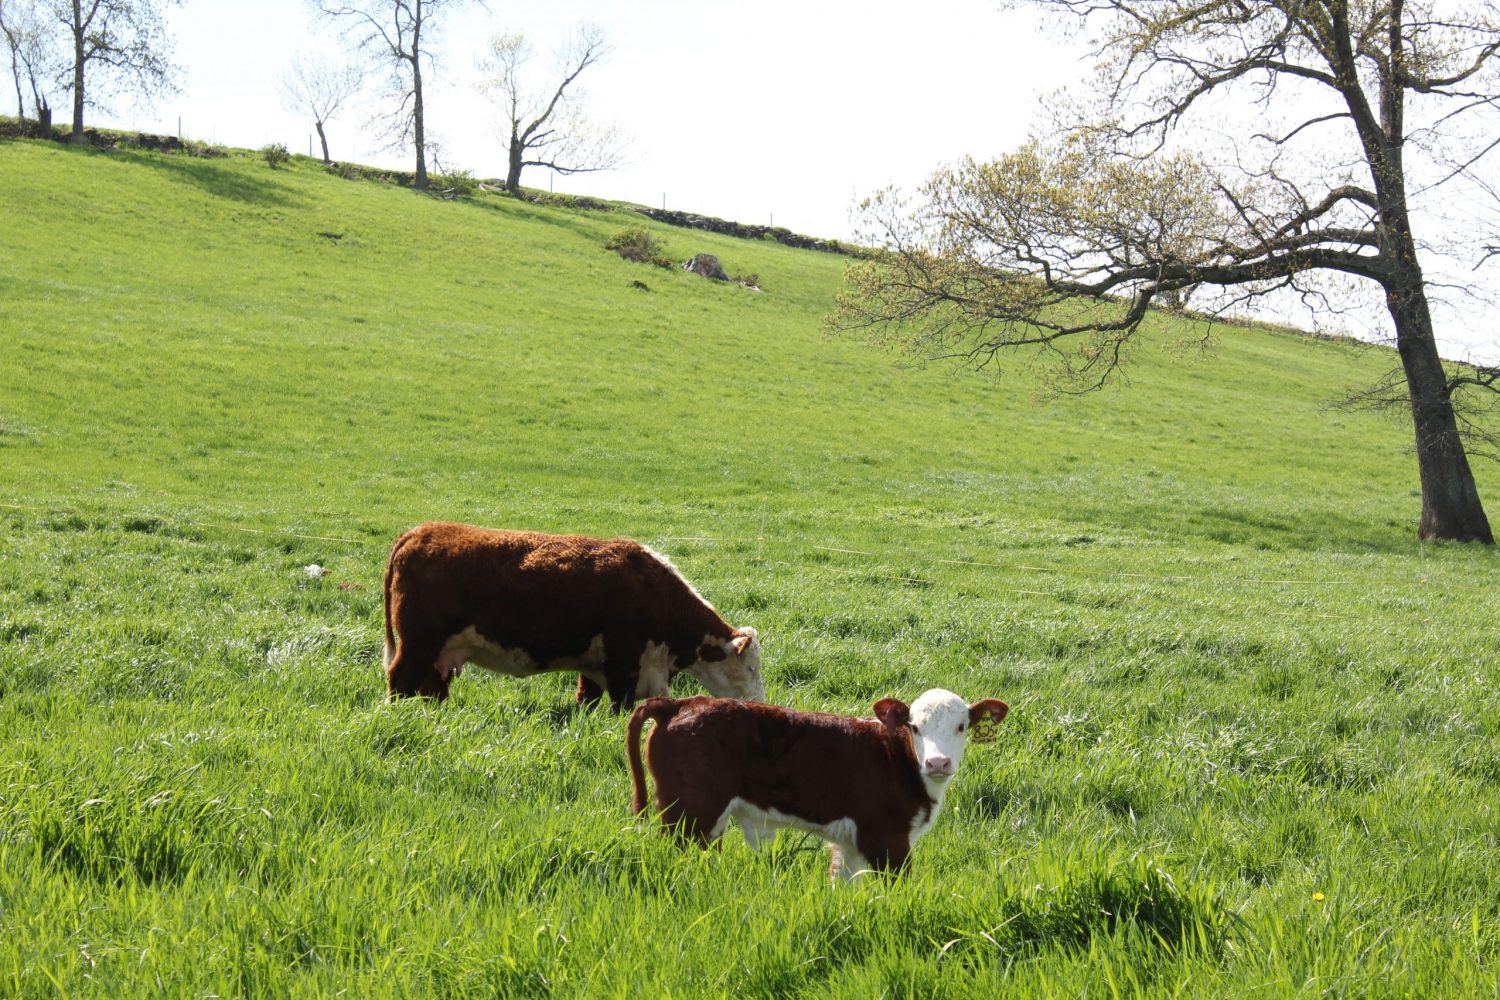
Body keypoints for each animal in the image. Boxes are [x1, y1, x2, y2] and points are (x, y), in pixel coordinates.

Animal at [381, 521, 768, 707]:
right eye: (750, 669)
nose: (761, 705)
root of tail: (419, 531)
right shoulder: (624, 664)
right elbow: (619, 706)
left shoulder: (595, 666)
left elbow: (587, 700)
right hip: (418, 643)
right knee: (400, 679)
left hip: (437, 652)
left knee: (431, 686)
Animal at [624, 689, 1008, 881]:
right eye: (914, 726)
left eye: (961, 726)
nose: (938, 762)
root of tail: (680, 703)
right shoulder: (888, 840)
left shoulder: (851, 843)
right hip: (688, 816)